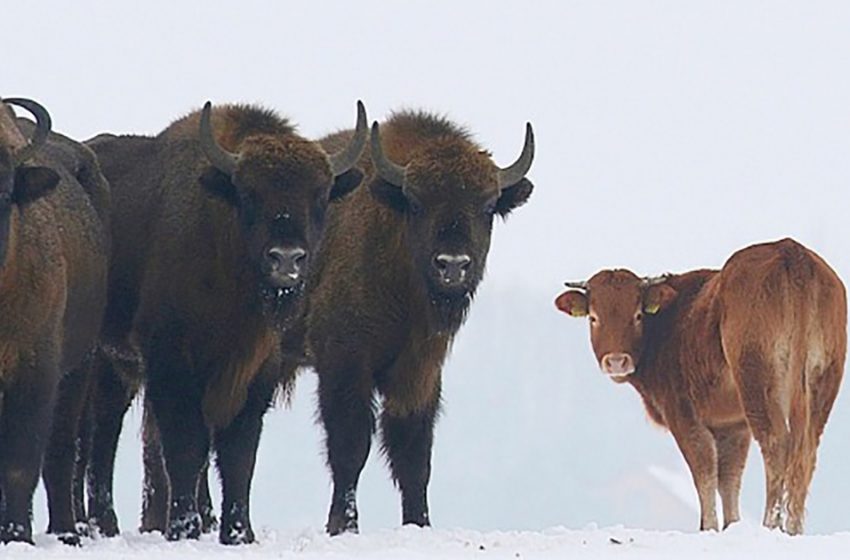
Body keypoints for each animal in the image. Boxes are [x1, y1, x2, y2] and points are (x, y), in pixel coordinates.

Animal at [82, 100, 368, 544]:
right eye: (249, 194)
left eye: (320, 195)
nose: (286, 259)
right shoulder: (172, 362)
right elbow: (186, 445)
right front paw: (183, 529)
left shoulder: (257, 370)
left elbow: (238, 453)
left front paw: (239, 533)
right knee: (95, 435)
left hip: (118, 366)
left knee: (104, 430)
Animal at [292, 109, 528, 532]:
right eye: (417, 204)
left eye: (487, 207)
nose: (453, 266)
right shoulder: (343, 363)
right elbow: (350, 445)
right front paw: (343, 526)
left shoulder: (419, 371)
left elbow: (413, 455)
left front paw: (419, 523)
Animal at [552, 236, 844, 532]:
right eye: (593, 317)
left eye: (637, 315)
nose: (616, 361)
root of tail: (791, 252)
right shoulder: (733, 425)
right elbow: (728, 478)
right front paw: (731, 525)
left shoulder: (683, 414)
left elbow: (704, 469)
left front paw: (709, 526)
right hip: (822, 383)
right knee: (806, 451)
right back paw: (794, 529)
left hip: (757, 381)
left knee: (775, 443)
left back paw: (770, 524)